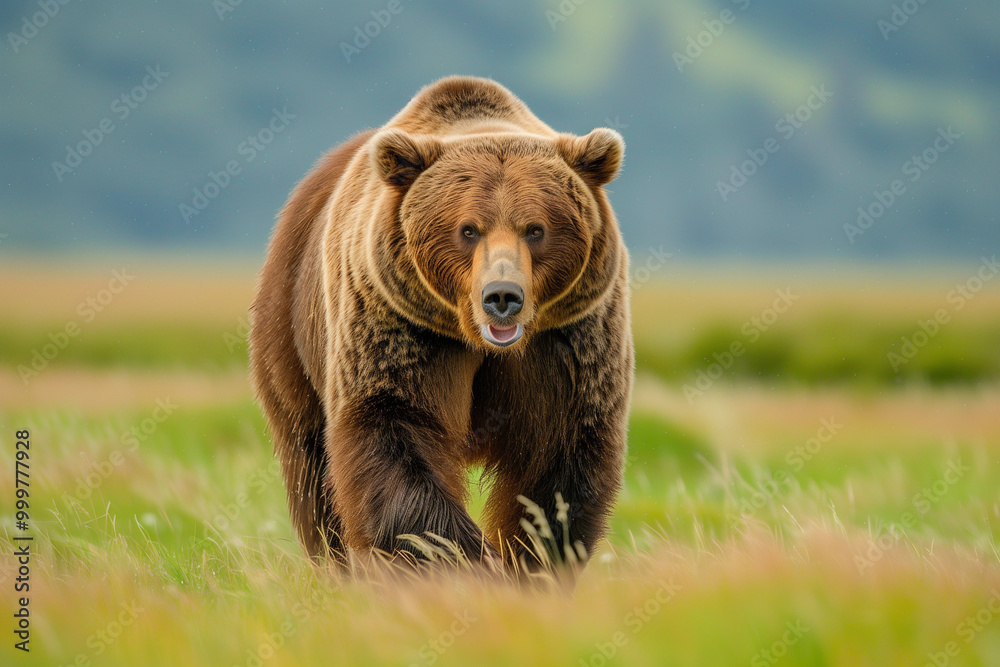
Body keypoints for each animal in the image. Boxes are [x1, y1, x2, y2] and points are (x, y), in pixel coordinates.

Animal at [249, 76, 633, 574]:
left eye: (535, 229)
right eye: (468, 229)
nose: (502, 297)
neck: (481, 343)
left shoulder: (567, 341)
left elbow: (560, 459)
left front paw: (532, 561)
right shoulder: (403, 329)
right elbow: (395, 432)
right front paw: (466, 564)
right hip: (291, 325)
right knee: (311, 466)